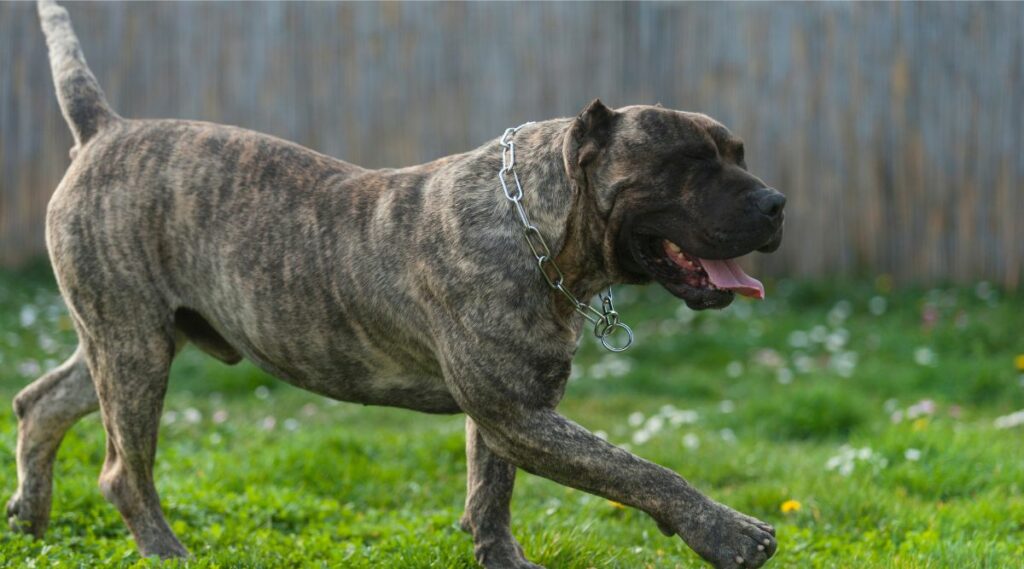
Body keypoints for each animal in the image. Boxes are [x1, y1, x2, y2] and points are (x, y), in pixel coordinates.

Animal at [9, 2, 782, 564]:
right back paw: (165, 550)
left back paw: (29, 516)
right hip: (134, 347)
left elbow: (491, 494)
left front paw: (499, 556)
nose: (776, 202)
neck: (534, 220)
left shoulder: (512, 411)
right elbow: (638, 468)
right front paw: (728, 530)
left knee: (41, 402)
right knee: (122, 470)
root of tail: (106, 130)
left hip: (130, 337)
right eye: (688, 162)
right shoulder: (518, 413)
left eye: (740, 154)